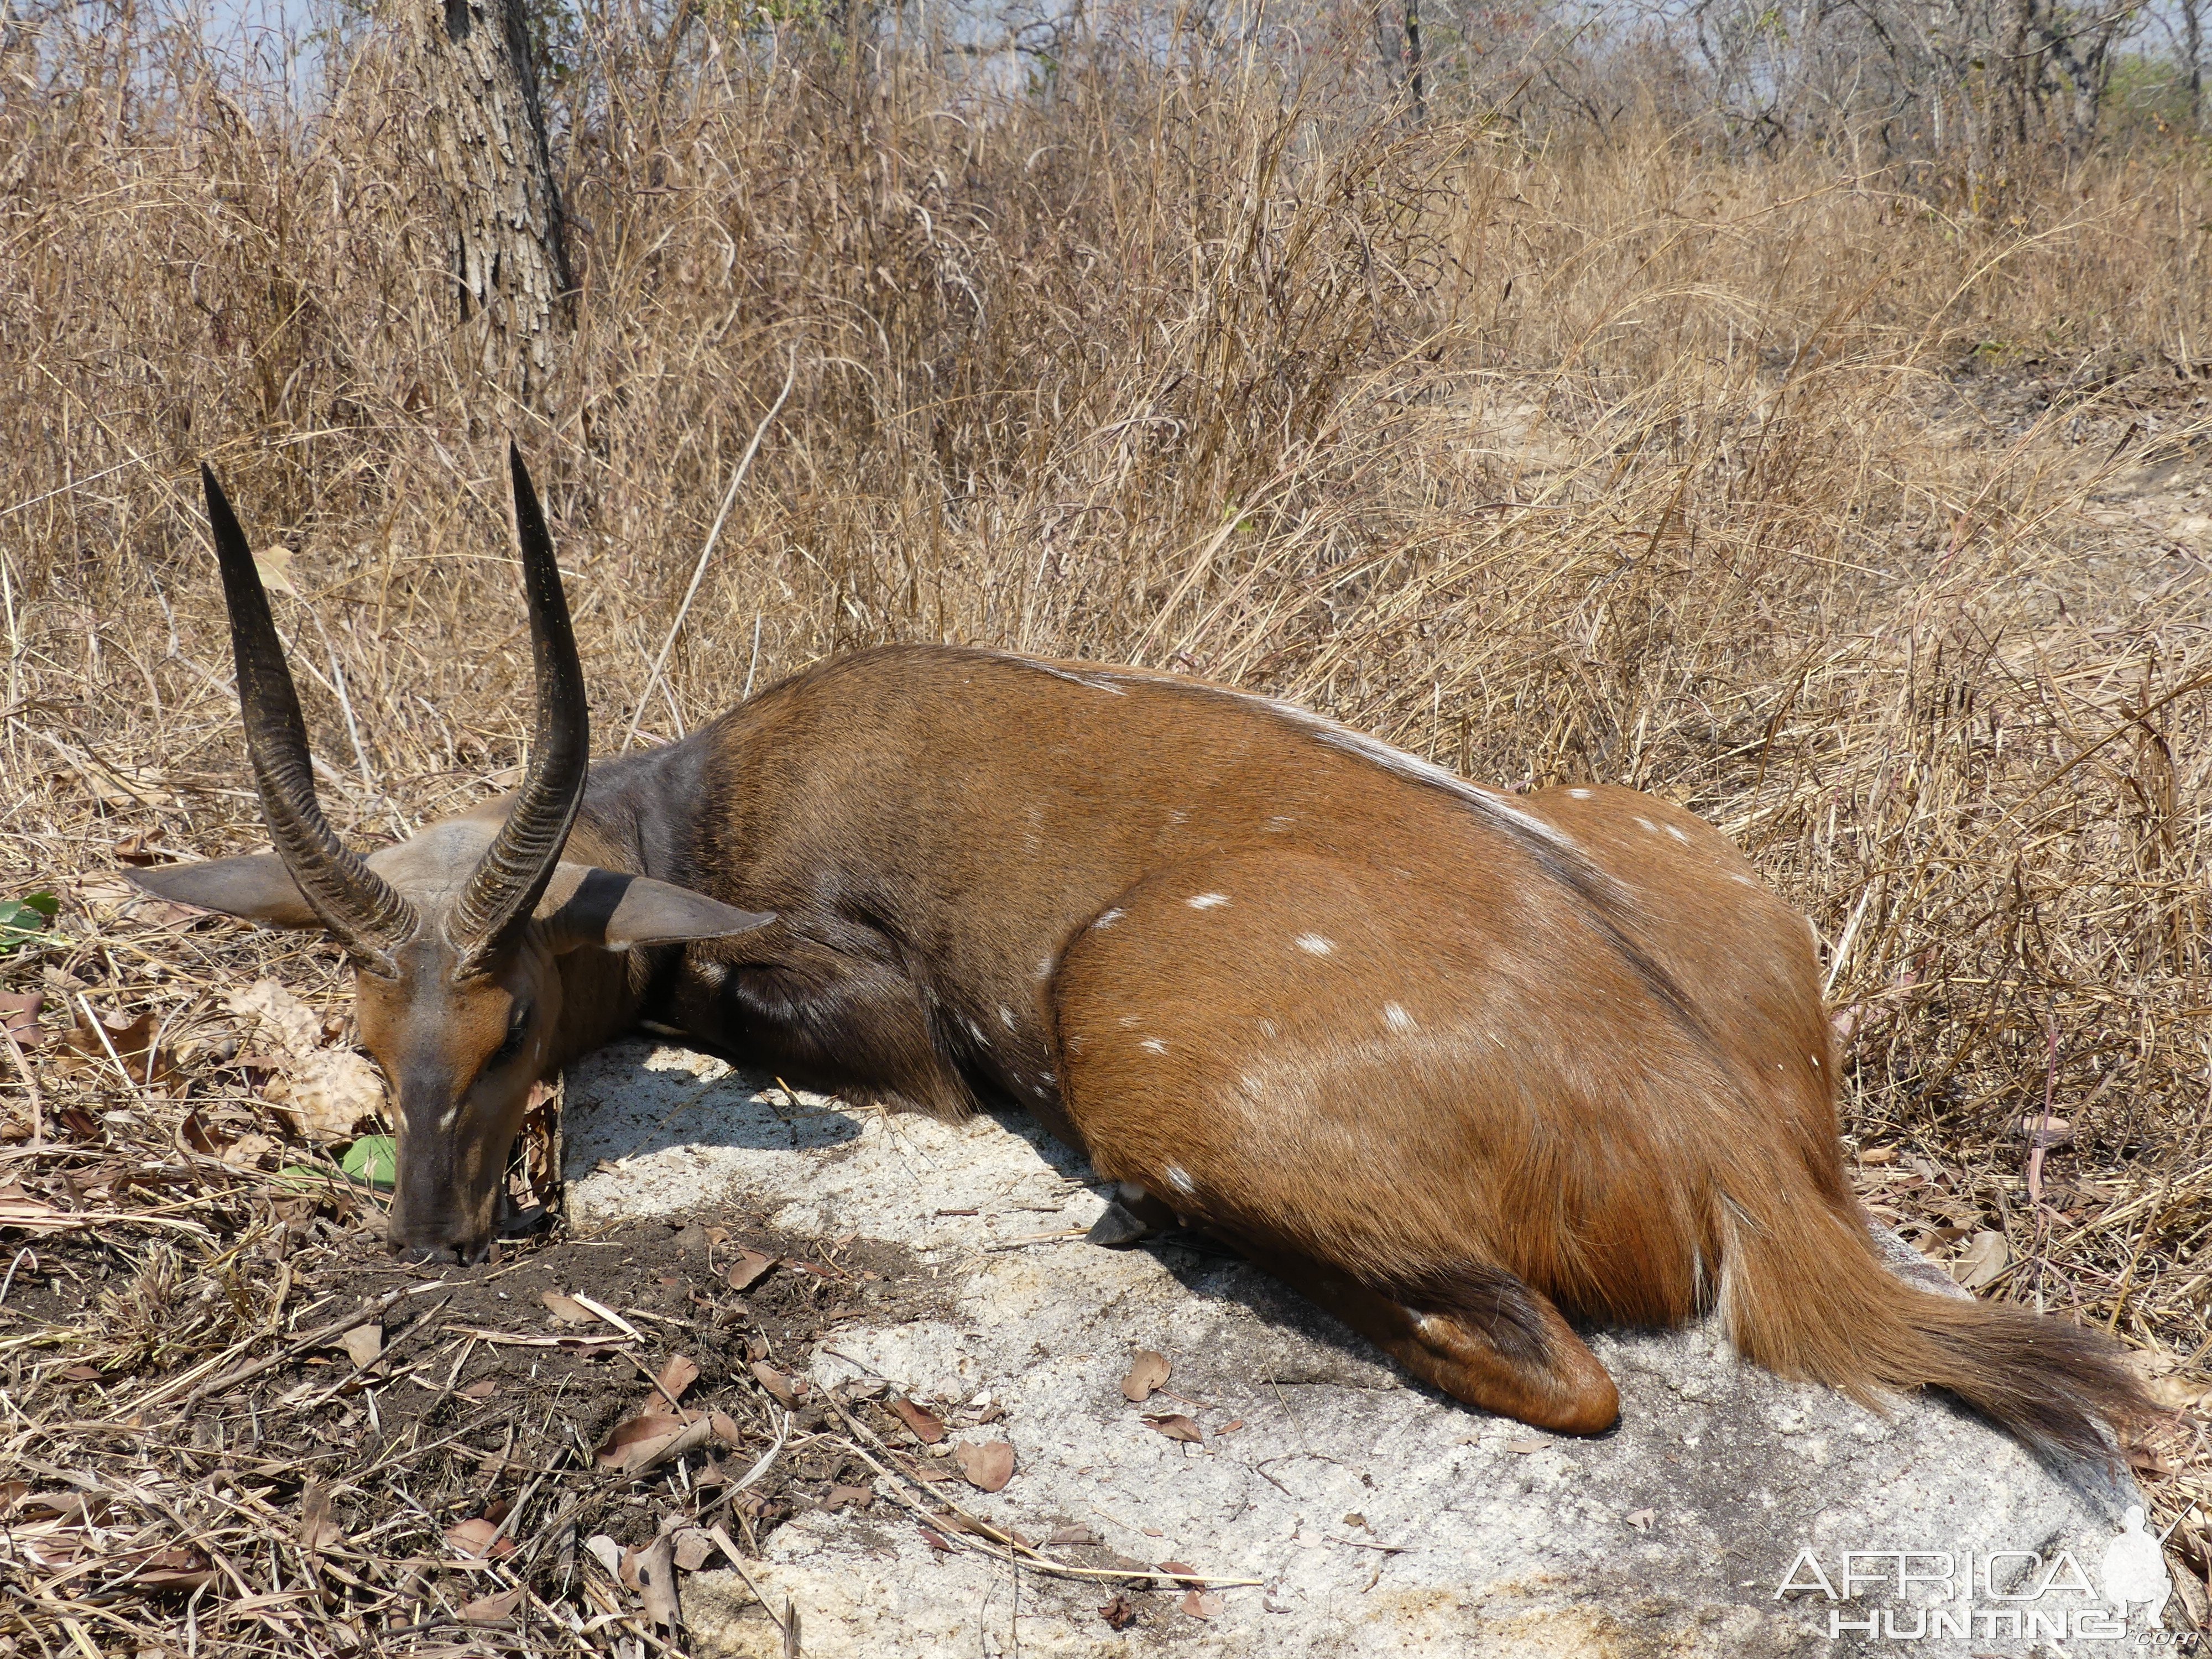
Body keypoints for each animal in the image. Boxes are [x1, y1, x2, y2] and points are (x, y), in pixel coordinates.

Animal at [138, 456, 2141, 1451]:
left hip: (1126, 1035)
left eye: (508, 1016)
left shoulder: (890, 1017)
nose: (426, 1237)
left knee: (1567, 1375)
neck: (709, 802)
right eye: (364, 1018)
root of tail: (1738, 1147)